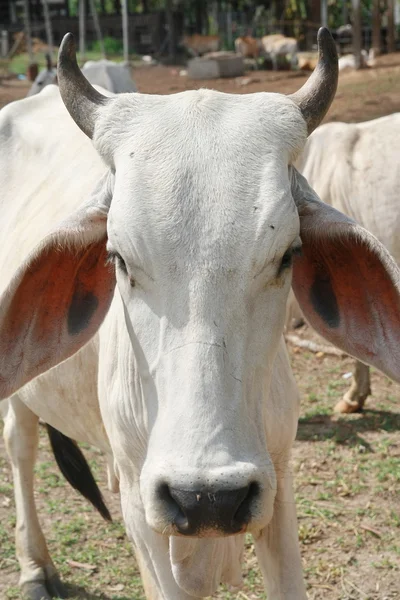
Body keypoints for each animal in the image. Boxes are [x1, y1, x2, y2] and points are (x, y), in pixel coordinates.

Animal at [0, 30, 400, 600]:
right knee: (21, 446)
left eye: (288, 255)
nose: (207, 497)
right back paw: (35, 567)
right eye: (118, 258)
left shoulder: (277, 477)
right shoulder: (147, 513)